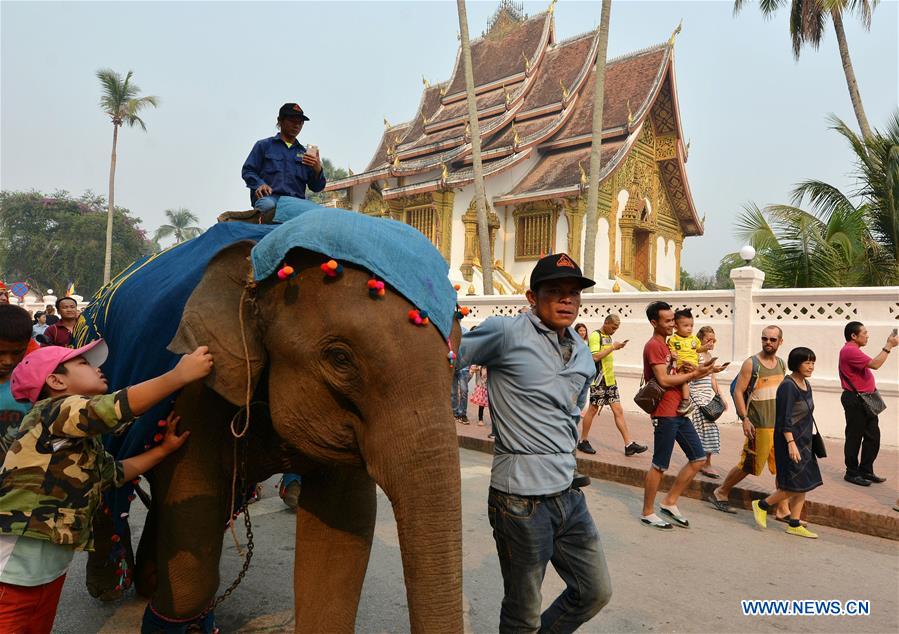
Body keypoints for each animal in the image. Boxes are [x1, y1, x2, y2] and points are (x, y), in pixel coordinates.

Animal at [79, 210, 464, 628]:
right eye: (340, 359)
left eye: (453, 358)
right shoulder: (198, 389)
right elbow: (191, 543)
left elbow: (339, 545)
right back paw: (108, 586)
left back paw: (148, 578)